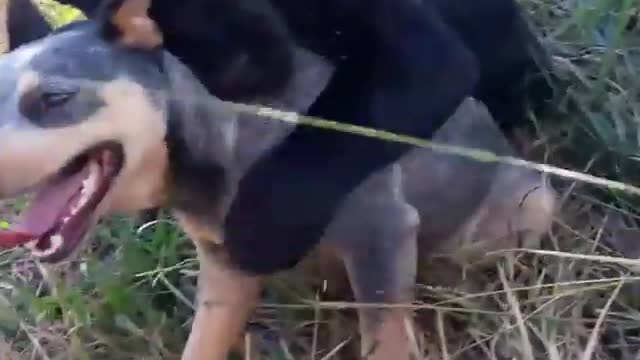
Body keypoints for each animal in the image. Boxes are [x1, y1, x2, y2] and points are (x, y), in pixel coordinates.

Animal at [0, 1, 556, 358]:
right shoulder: (225, 268)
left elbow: (387, 343)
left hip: (532, 203)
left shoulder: (381, 234)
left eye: (53, 98)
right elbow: (202, 343)